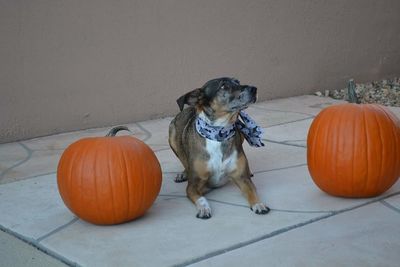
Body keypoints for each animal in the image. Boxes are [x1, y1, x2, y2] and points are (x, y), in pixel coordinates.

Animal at [167, 77, 270, 220]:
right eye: (223, 86)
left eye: (238, 82)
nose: (254, 89)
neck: (219, 134)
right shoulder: (193, 186)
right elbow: (201, 198)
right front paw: (204, 208)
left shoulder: (242, 179)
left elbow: (251, 190)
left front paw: (258, 204)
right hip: (172, 132)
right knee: (184, 161)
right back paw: (183, 173)